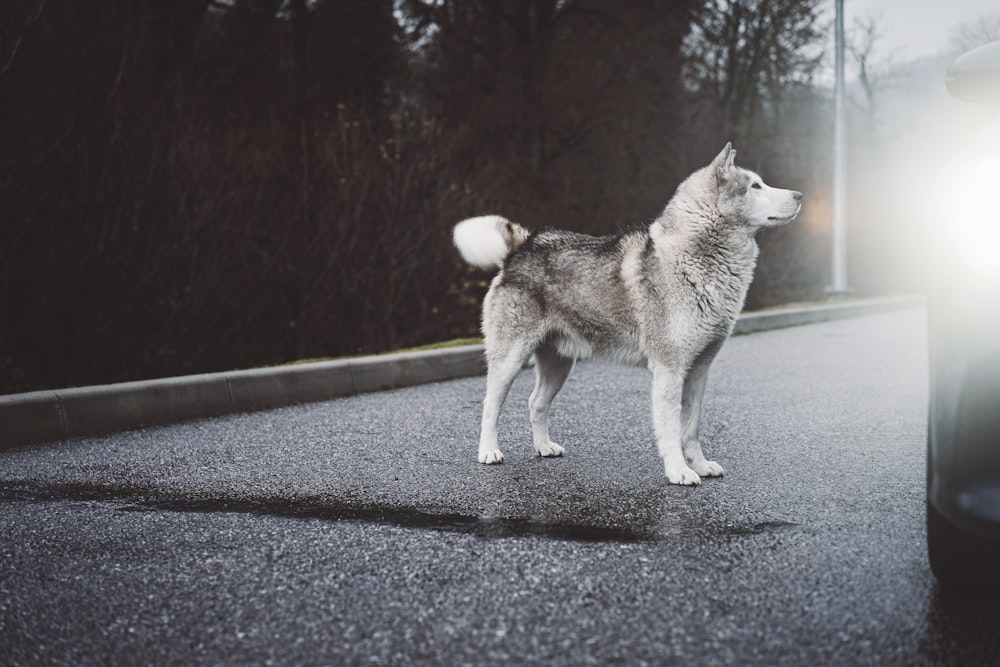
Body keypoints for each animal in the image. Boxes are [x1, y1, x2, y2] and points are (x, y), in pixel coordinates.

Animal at [458, 145, 800, 486]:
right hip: (510, 361)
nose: (799, 195)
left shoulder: (699, 370)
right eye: (755, 186)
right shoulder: (669, 371)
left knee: (536, 403)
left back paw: (544, 447)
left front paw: (700, 465)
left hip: (559, 365)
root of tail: (523, 246)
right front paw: (679, 471)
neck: (695, 258)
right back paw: (489, 452)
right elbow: (671, 431)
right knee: (490, 407)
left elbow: (691, 429)